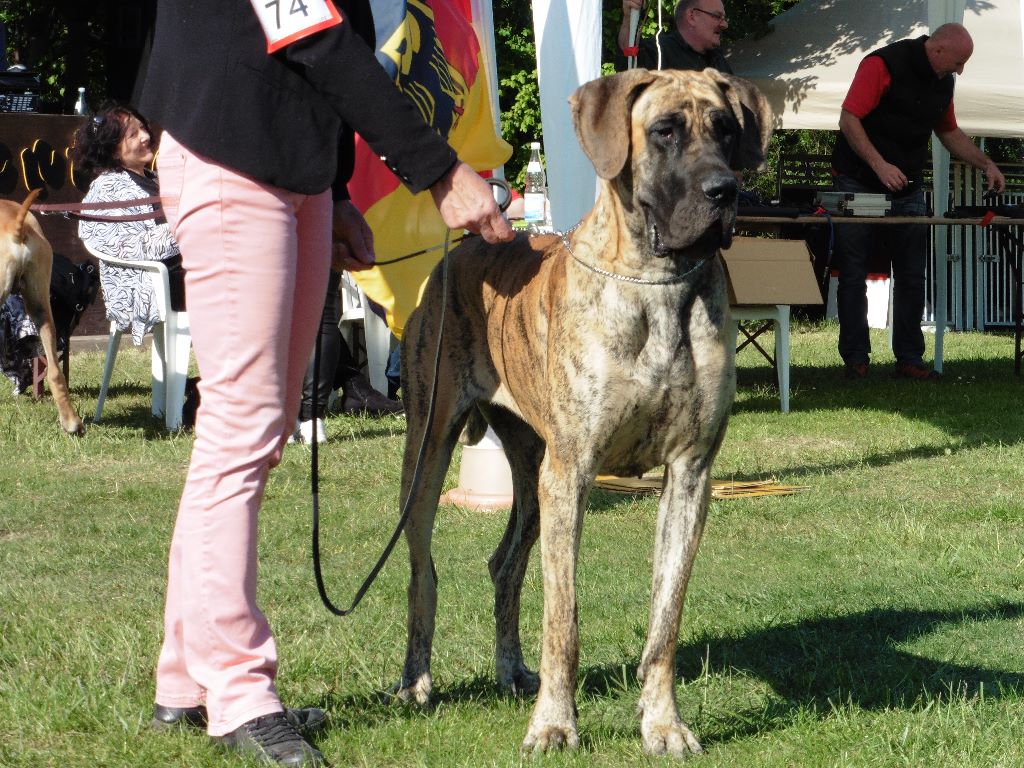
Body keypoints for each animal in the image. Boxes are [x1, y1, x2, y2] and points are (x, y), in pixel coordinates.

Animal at [395, 69, 770, 761]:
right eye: (665, 131)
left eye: (727, 130)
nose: (724, 190)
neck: (657, 285)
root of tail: (462, 250)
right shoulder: (571, 474)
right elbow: (563, 620)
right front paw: (553, 725)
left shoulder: (690, 474)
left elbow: (665, 620)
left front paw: (662, 724)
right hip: (431, 448)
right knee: (422, 570)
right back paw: (416, 681)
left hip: (531, 466)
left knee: (506, 563)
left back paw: (512, 670)